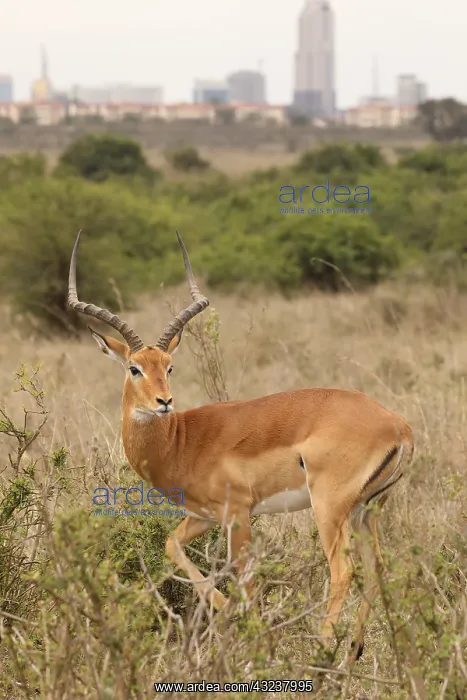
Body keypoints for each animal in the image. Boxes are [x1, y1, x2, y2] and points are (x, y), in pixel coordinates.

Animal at [68, 230, 414, 663]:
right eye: (135, 368)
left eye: (169, 366)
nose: (164, 402)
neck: (181, 440)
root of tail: (398, 426)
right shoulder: (203, 515)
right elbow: (172, 546)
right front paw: (229, 614)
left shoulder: (238, 514)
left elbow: (245, 578)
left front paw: (256, 640)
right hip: (367, 510)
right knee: (377, 569)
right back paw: (357, 652)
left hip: (330, 509)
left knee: (344, 572)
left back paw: (321, 654)